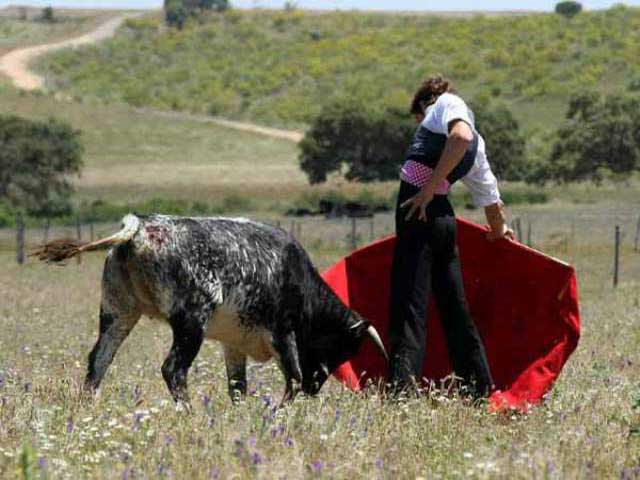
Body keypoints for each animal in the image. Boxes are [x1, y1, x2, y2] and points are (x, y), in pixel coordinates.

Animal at [35, 216, 388, 406]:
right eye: (343, 347)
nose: (317, 387)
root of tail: (140, 228)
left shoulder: (234, 341)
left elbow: (238, 386)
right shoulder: (283, 332)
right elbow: (294, 376)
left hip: (118, 312)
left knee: (99, 361)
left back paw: (88, 408)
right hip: (191, 324)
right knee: (173, 369)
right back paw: (188, 413)